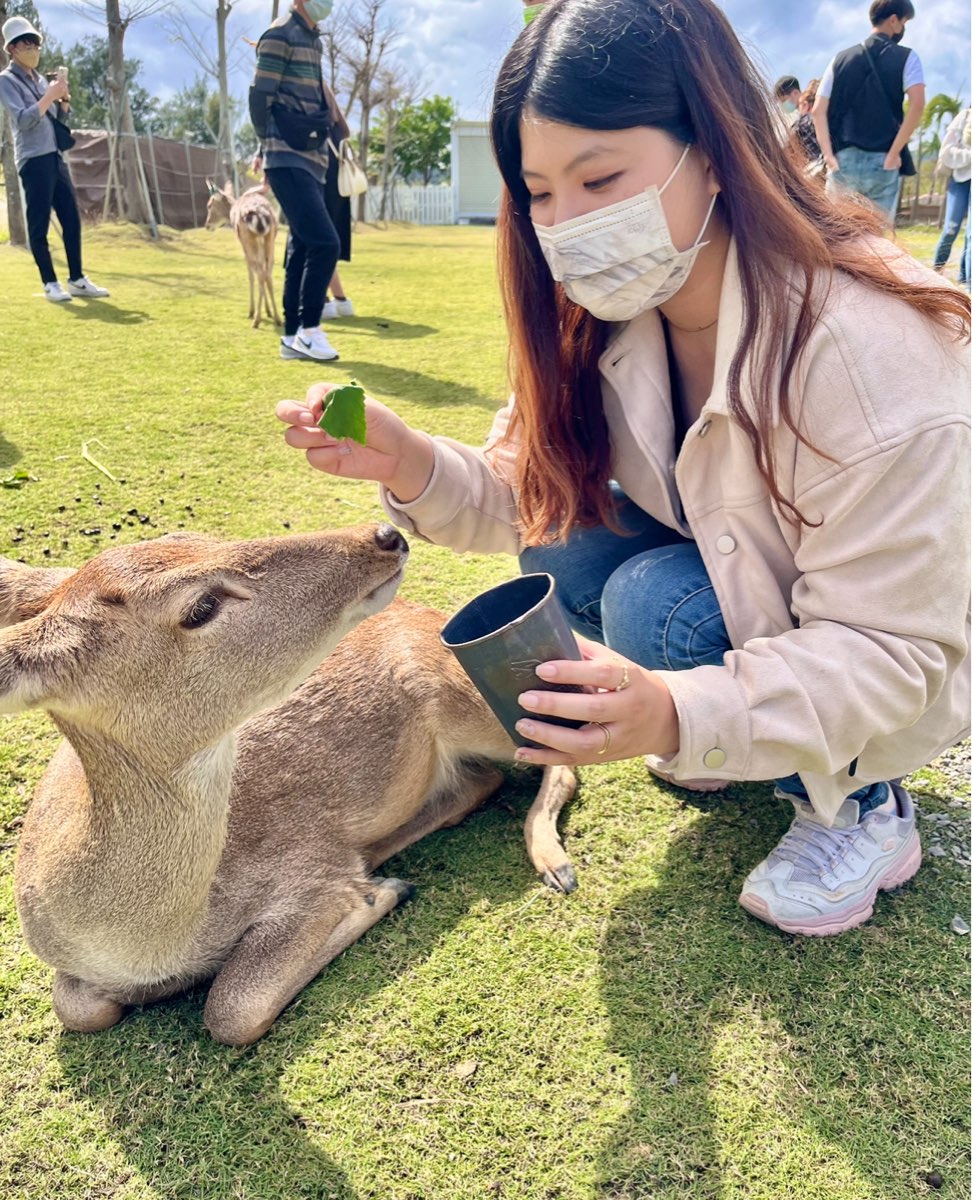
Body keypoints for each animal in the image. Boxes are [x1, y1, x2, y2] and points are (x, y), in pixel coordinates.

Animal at [0, 526, 577, 1047]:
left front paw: (378, 893)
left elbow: (231, 1007)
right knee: (484, 779)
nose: (384, 534)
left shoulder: (305, 871)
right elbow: (77, 1007)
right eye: (200, 606)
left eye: (192, 534)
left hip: (467, 695)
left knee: (561, 755)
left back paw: (554, 866)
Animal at [205, 179, 282, 330]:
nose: (207, 225)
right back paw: (277, 318)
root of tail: (259, 215)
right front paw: (268, 311)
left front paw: (251, 311)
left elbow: (250, 275)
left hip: (249, 241)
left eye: (209, 205)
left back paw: (256, 319)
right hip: (270, 241)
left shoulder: (243, 247)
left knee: (260, 274)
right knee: (268, 275)